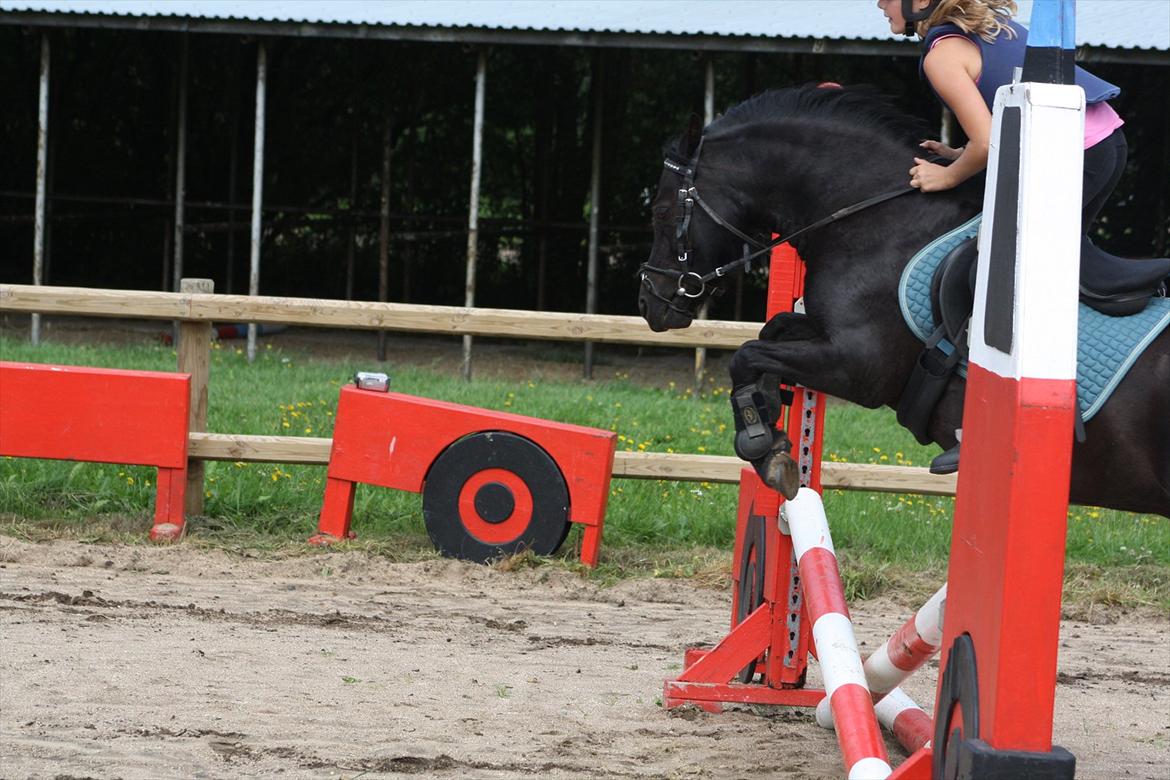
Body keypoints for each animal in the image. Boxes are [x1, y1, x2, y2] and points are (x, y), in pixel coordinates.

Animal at [637, 85, 1169, 518]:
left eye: (661, 211)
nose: (650, 303)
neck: (876, 221)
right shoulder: (827, 337)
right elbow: (773, 331)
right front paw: (775, 422)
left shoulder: (859, 367)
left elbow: (747, 354)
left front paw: (761, 443)